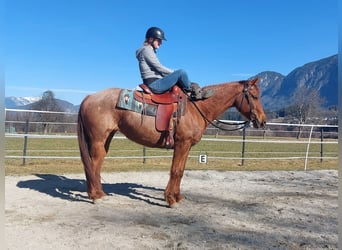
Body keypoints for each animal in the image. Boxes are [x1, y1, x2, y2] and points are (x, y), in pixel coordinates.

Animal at [77, 78, 268, 207]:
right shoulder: (182, 144)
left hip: (105, 140)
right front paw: (170, 199)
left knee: (94, 166)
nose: (262, 121)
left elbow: (180, 171)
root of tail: (89, 97)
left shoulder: (186, 146)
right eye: (255, 96)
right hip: (98, 140)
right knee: (92, 165)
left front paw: (177, 197)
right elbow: (175, 171)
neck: (197, 108)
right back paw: (96, 196)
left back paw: (98, 193)